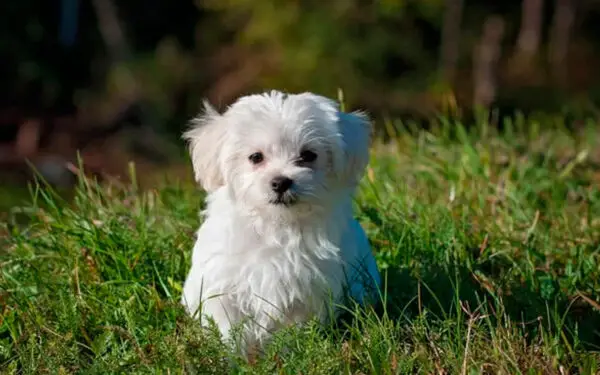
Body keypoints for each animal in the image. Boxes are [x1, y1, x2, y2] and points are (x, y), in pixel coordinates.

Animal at [180, 91, 382, 356]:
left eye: (308, 155)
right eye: (255, 157)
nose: (280, 182)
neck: (276, 225)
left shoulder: (307, 290)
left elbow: (293, 328)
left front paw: (288, 354)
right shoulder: (223, 285)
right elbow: (227, 327)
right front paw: (231, 357)